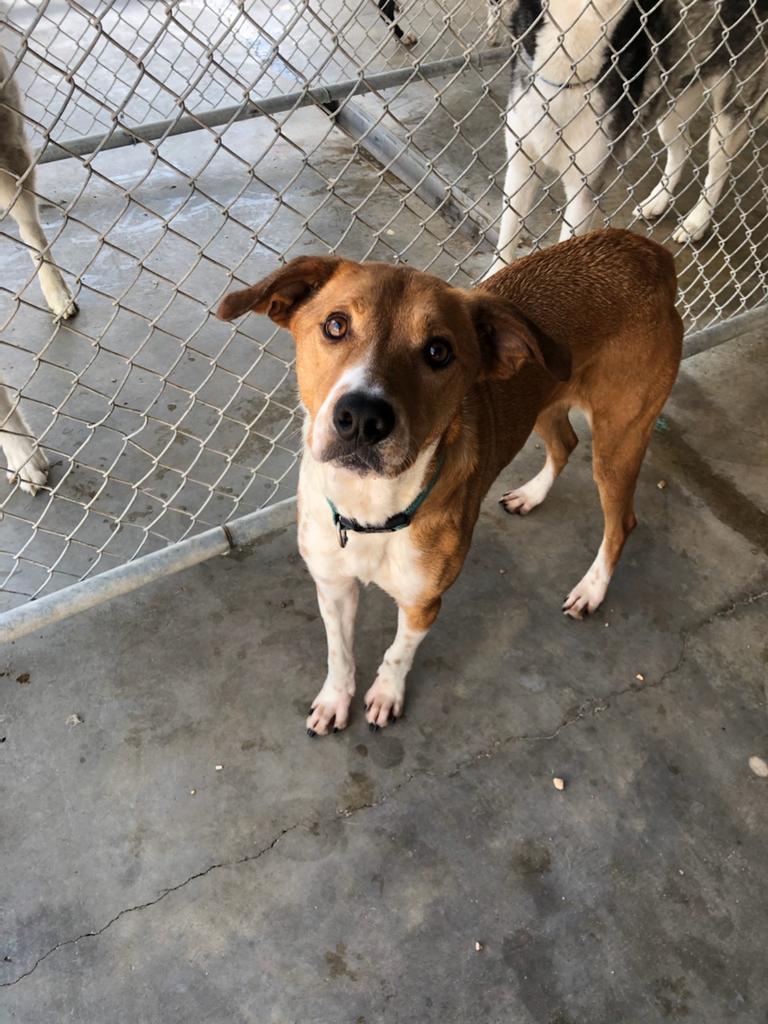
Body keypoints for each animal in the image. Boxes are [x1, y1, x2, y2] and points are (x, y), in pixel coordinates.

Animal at [219, 228, 684, 733]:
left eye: (438, 351)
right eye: (336, 325)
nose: (362, 417)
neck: (371, 510)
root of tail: (644, 250)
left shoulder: (423, 604)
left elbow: (397, 654)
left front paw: (386, 696)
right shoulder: (333, 585)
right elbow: (339, 654)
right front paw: (335, 699)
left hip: (620, 438)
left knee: (621, 522)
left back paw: (591, 589)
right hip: (544, 400)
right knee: (565, 444)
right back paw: (531, 495)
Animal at [489, 0, 768, 274]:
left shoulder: (584, 187)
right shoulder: (521, 166)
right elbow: (506, 239)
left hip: (729, 112)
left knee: (719, 168)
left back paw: (696, 223)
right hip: (672, 103)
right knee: (683, 148)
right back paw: (657, 201)